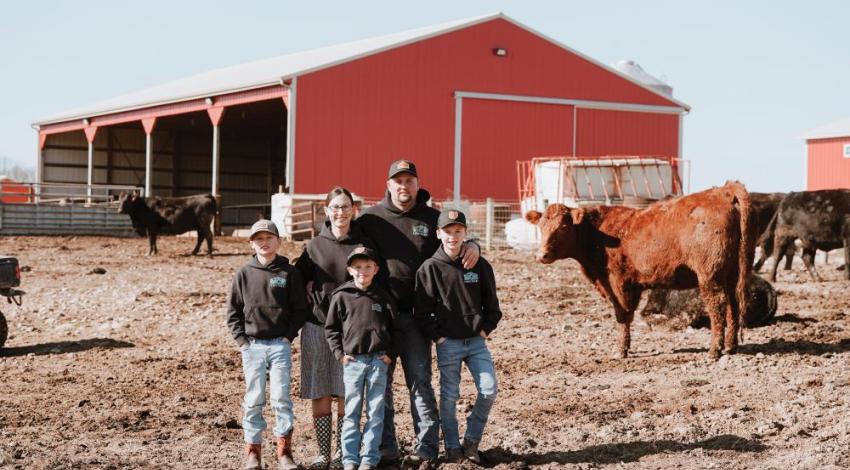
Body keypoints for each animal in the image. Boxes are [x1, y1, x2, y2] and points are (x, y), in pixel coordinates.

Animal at [524, 182, 756, 358]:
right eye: (541, 227)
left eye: (563, 227)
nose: (541, 255)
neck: (598, 234)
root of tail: (724, 190)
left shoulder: (618, 282)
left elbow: (622, 315)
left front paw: (621, 350)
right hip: (732, 272)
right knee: (733, 305)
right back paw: (731, 346)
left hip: (709, 274)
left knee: (717, 306)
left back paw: (714, 350)